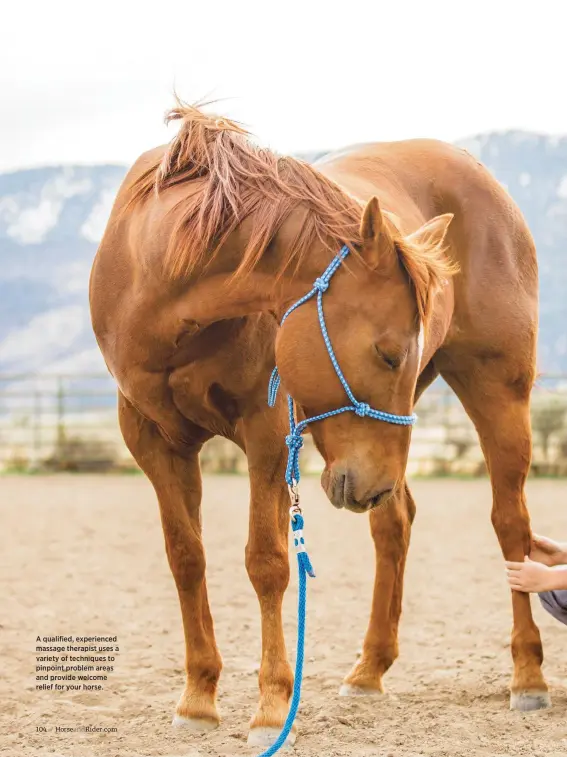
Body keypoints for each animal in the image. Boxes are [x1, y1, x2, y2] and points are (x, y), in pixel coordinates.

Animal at [90, 103, 552, 748]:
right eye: (389, 353)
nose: (368, 484)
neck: (160, 280)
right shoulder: (153, 441)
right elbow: (186, 559)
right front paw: (199, 698)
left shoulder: (265, 434)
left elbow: (267, 564)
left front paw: (270, 708)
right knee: (395, 523)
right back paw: (369, 670)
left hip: (496, 393)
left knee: (512, 527)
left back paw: (528, 676)